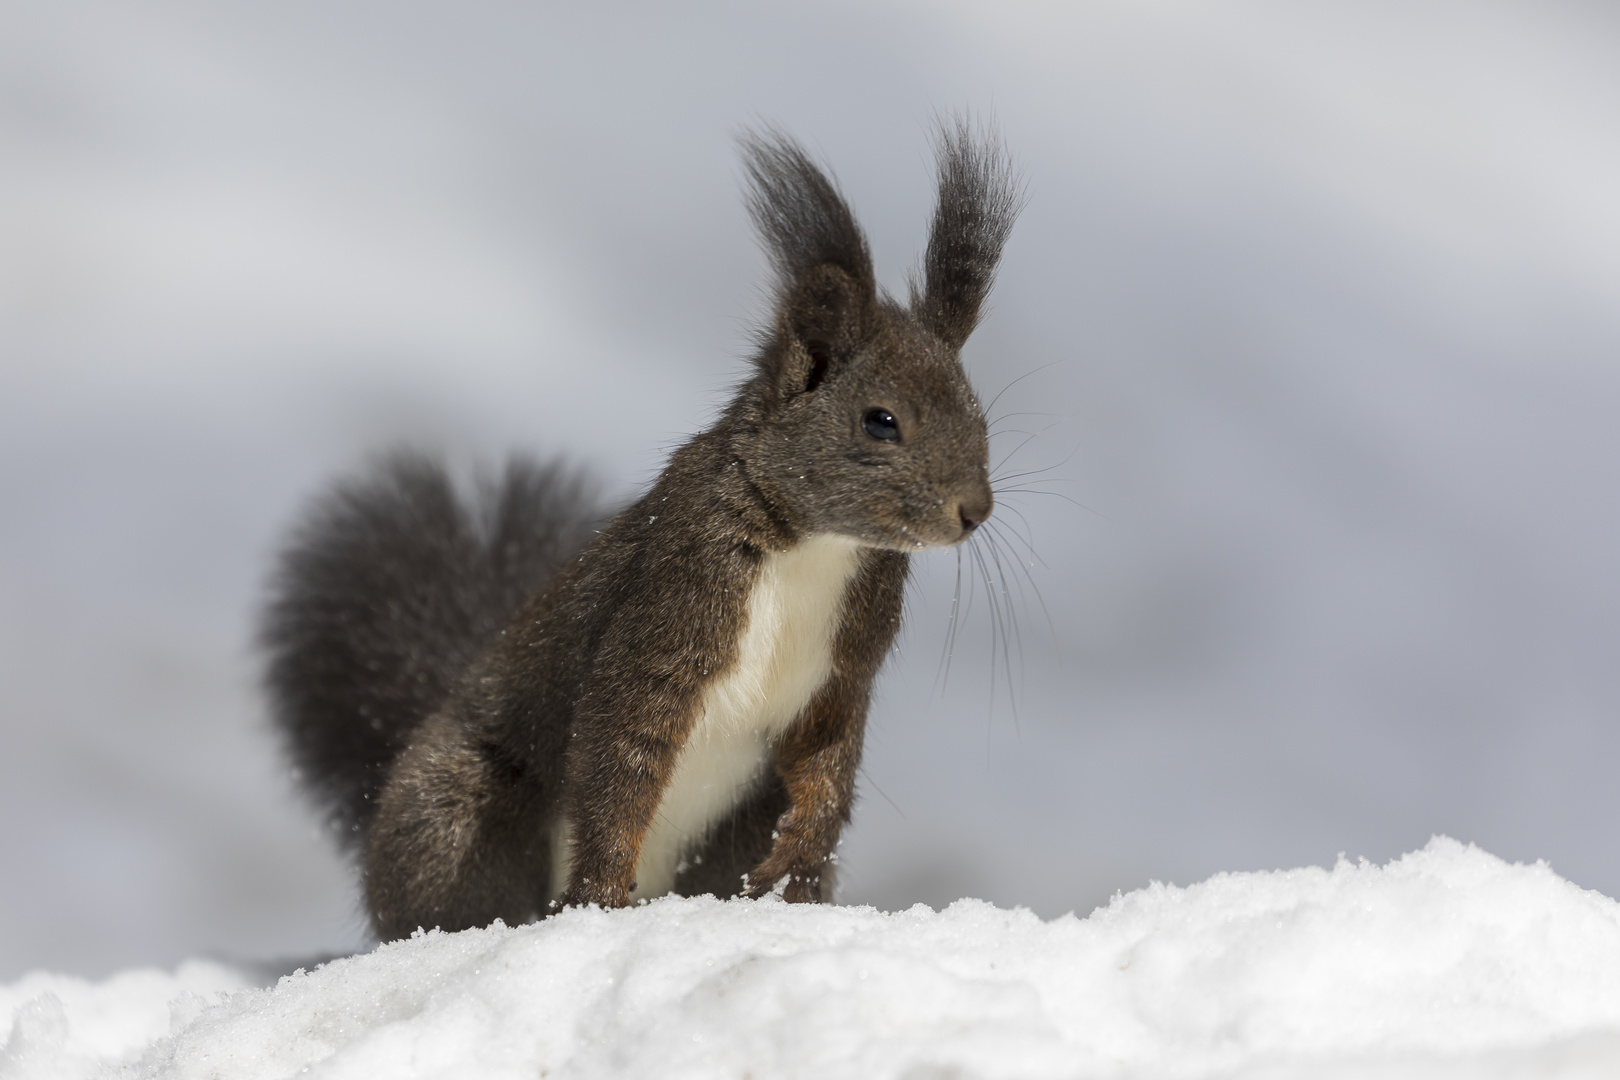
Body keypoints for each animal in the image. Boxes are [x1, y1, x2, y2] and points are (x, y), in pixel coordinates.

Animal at [265, 120, 1023, 939]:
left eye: (979, 414)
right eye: (880, 421)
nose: (974, 510)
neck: (812, 546)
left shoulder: (846, 669)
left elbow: (828, 762)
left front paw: (801, 854)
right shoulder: (666, 606)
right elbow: (618, 760)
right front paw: (598, 894)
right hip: (457, 808)